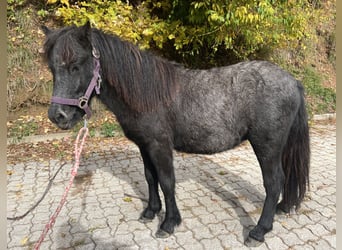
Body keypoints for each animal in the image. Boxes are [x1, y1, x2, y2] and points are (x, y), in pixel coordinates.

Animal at [40, 22, 310, 246]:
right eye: (53, 68)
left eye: (76, 66)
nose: (57, 116)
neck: (146, 93)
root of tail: (292, 81)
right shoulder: (144, 145)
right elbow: (150, 178)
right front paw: (150, 212)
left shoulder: (160, 145)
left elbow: (167, 182)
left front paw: (169, 223)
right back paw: (283, 207)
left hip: (267, 146)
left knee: (273, 182)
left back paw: (259, 231)